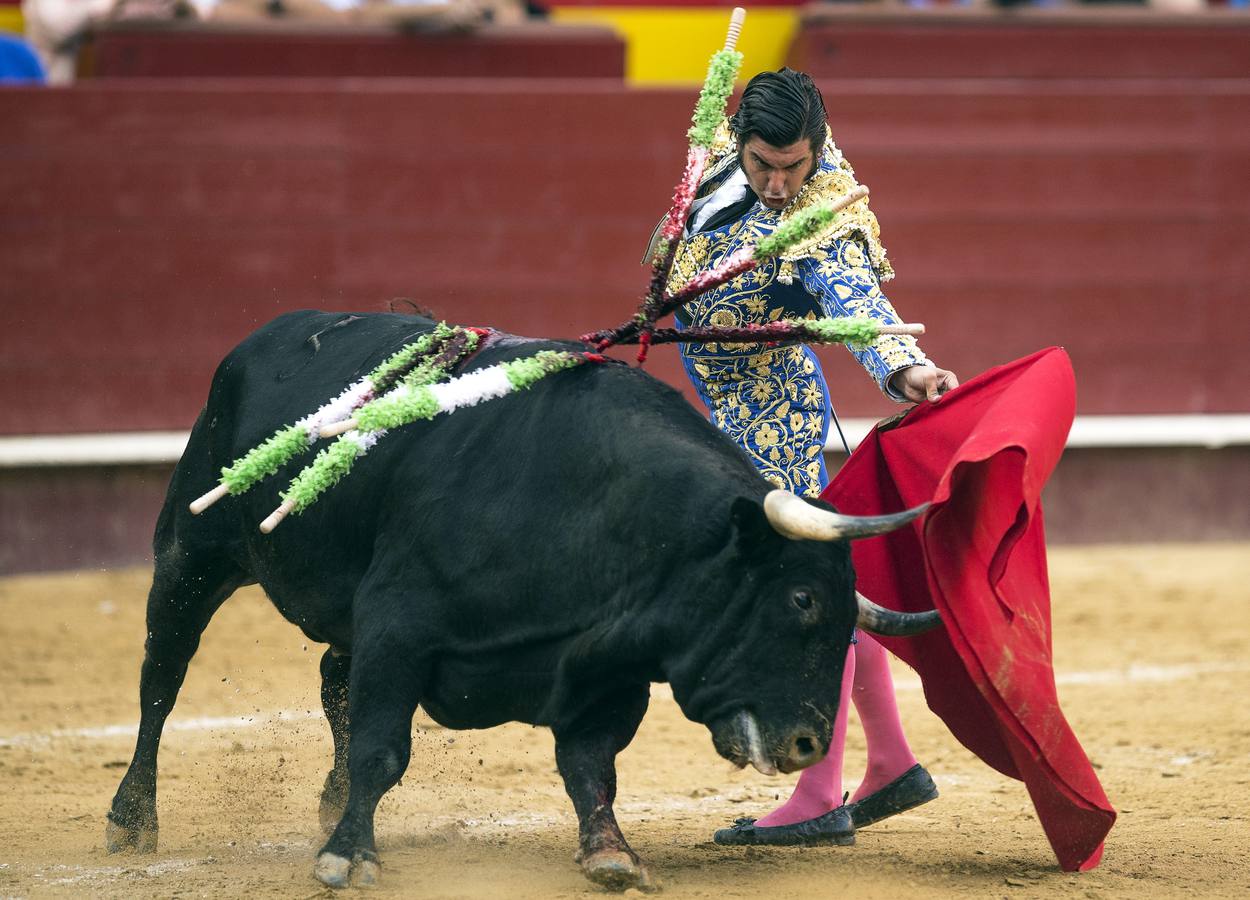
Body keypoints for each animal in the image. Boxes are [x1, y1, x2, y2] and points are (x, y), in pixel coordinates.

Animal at [105, 311, 930, 895]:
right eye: (800, 598)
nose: (809, 743)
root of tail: (267, 335)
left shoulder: (607, 672)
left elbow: (592, 767)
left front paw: (612, 855)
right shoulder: (398, 626)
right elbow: (383, 747)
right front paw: (346, 858)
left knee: (331, 683)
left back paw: (326, 803)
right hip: (191, 553)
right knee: (160, 681)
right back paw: (131, 819)